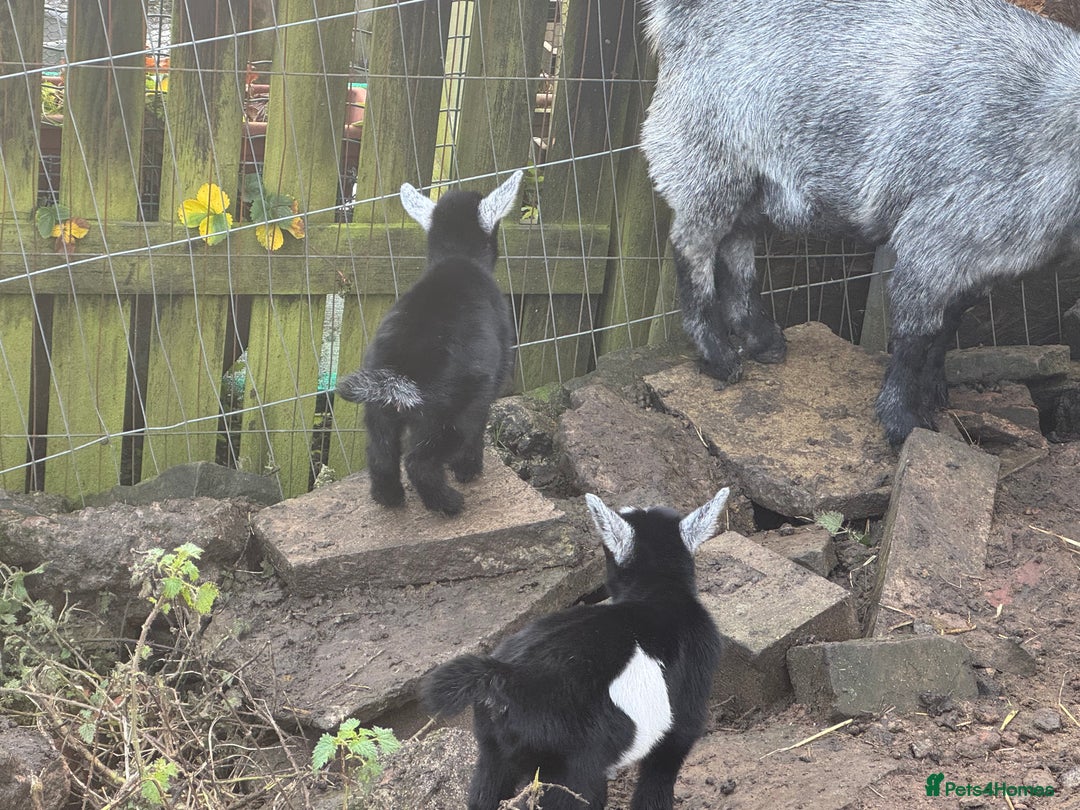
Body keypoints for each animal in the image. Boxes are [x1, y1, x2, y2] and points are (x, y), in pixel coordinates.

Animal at [336, 171, 522, 515]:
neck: (457, 257)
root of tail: (398, 372)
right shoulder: (491, 384)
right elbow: (479, 432)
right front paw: (468, 471)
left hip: (379, 411)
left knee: (380, 455)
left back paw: (389, 498)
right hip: (452, 412)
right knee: (419, 462)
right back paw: (449, 503)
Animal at [421, 488, 728, 809]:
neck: (659, 592)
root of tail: (506, 674)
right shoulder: (687, 704)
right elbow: (658, 778)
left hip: (493, 749)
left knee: (485, 791)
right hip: (570, 762)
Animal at [640, 0, 1080, 445]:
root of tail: (680, 14)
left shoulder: (984, 256)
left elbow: (949, 324)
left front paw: (934, 391)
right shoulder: (941, 236)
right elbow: (918, 334)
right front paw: (903, 420)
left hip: (750, 173)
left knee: (737, 243)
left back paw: (761, 339)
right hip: (708, 151)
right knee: (693, 245)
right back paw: (719, 356)